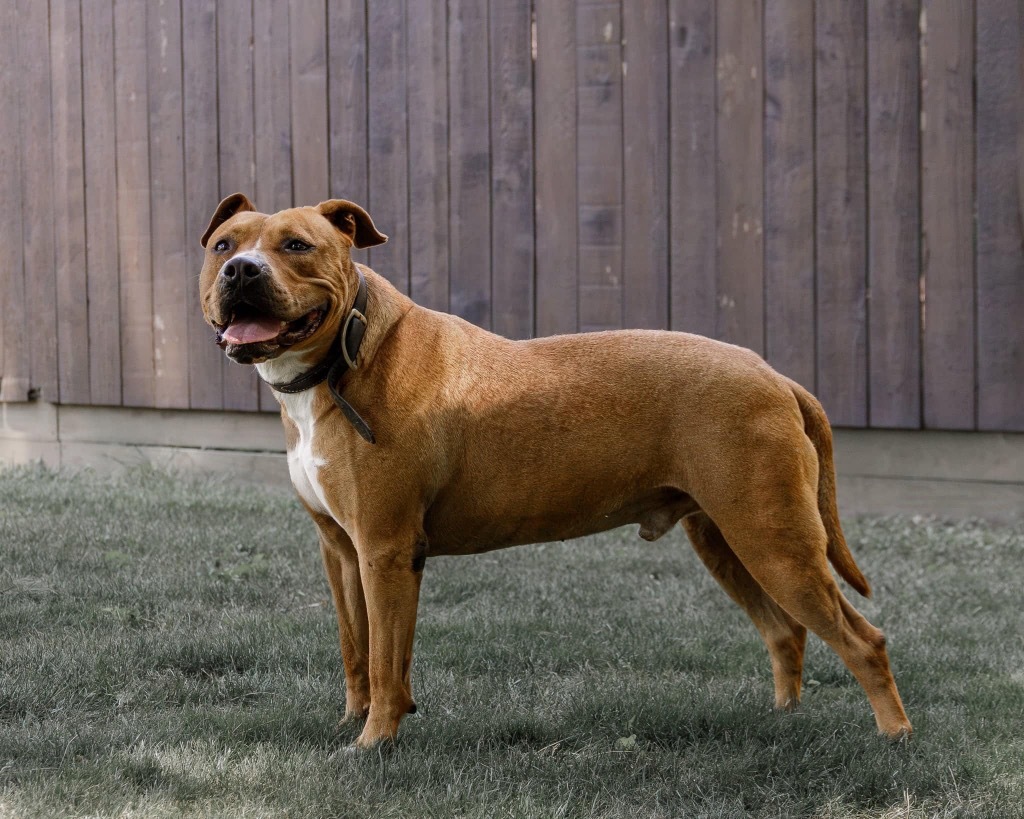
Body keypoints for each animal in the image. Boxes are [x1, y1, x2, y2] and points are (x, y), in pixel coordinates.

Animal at [197, 193, 913, 749]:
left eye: (297, 245)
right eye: (223, 244)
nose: (240, 270)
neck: (343, 357)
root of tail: (775, 376)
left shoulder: (386, 550)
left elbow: (385, 662)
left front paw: (374, 743)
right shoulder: (341, 551)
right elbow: (357, 651)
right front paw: (353, 723)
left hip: (774, 541)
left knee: (863, 640)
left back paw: (895, 738)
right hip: (728, 540)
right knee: (786, 630)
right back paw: (782, 721)